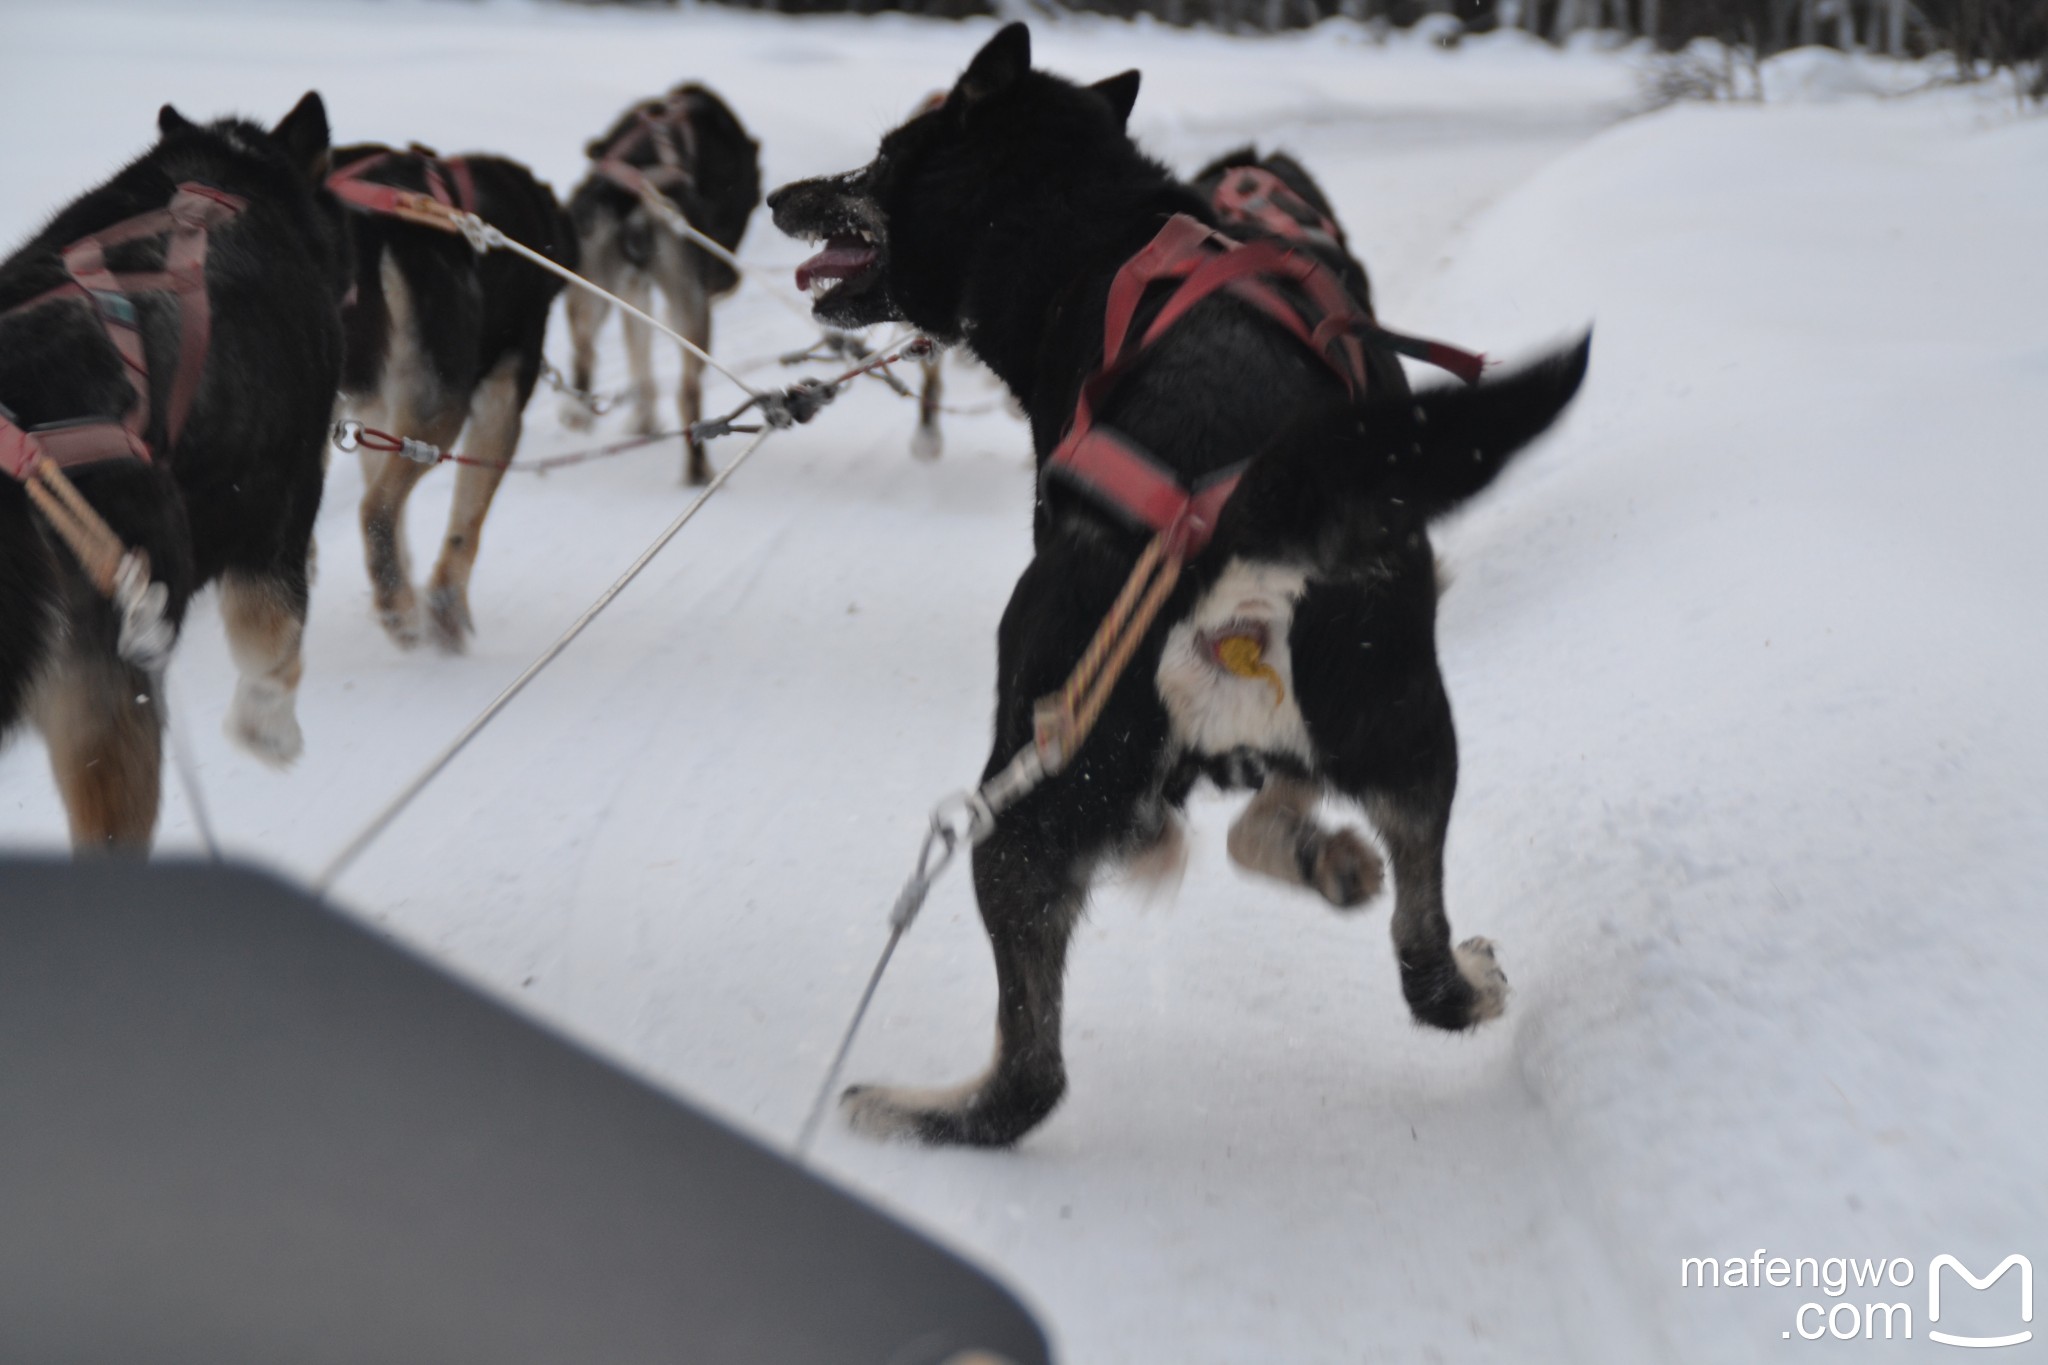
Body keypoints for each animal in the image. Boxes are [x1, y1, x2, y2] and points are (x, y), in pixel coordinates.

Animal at [329, 141, 577, 654]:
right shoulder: (501, 400)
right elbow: (468, 522)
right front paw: (444, 607)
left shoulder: (373, 412)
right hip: (443, 409)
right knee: (375, 509)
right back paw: (400, 609)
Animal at [565, 82, 765, 482]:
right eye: (749, 204)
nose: (728, 281)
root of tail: (641, 191)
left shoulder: (633, 289)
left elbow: (640, 365)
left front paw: (643, 422)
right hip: (690, 307)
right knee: (688, 392)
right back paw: (699, 469)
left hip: (591, 288)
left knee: (586, 352)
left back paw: (582, 415)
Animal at [774, 26, 1589, 1146]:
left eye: (884, 154)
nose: (780, 194)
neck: (1086, 227)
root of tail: (1229, 512)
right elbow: (1266, 825)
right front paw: (1321, 856)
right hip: (1403, 725)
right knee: (1418, 962)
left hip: (1023, 796)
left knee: (1030, 1078)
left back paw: (907, 1107)